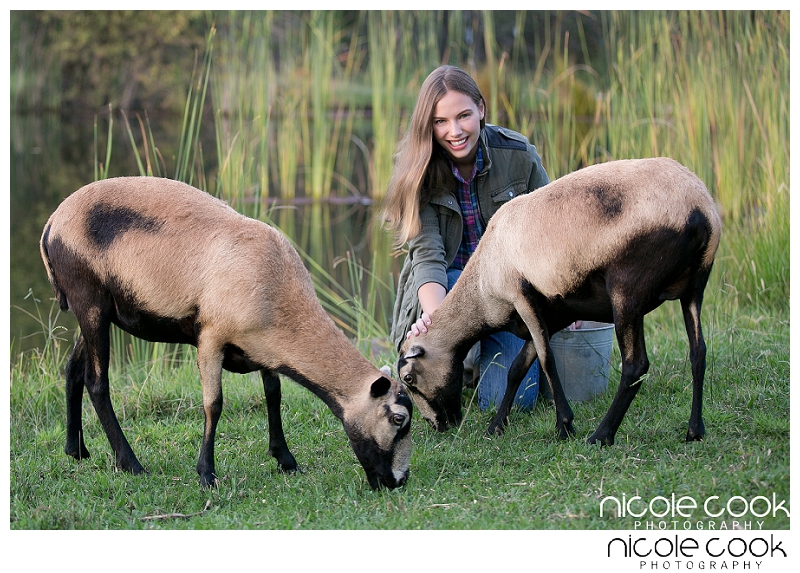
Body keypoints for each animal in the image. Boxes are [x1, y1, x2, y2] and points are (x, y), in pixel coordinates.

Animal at [39, 178, 412, 488]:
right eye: (398, 419)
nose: (398, 481)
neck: (279, 293)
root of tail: (52, 223)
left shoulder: (261, 347)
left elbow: (273, 394)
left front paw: (286, 459)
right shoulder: (210, 337)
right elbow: (213, 404)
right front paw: (207, 474)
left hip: (99, 311)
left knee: (73, 369)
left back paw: (76, 450)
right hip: (89, 300)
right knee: (97, 382)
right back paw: (130, 464)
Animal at [396, 158, 720, 446]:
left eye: (409, 378)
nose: (439, 426)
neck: (482, 289)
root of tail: (701, 209)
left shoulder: (521, 296)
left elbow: (546, 360)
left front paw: (564, 425)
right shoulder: (551, 314)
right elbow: (517, 368)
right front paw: (496, 426)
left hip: (627, 290)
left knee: (635, 365)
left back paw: (601, 436)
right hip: (695, 286)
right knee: (698, 352)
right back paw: (695, 430)